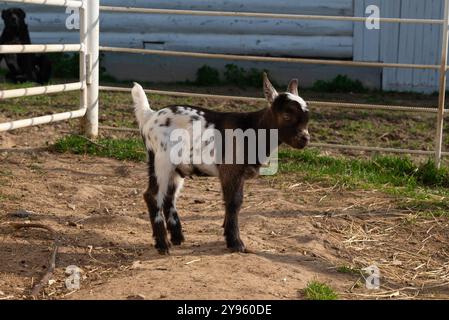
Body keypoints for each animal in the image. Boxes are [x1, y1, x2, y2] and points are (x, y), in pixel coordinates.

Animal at [131, 74, 310, 254]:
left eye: (307, 118)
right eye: (287, 115)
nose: (305, 139)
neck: (253, 128)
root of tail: (150, 116)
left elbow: (233, 202)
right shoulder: (230, 171)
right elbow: (234, 202)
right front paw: (235, 242)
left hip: (175, 168)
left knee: (169, 196)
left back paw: (177, 238)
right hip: (161, 161)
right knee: (152, 196)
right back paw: (163, 244)